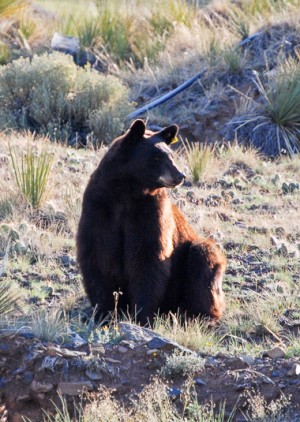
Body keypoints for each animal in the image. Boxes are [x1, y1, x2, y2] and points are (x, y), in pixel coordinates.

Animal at [76, 120, 226, 324]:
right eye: (156, 157)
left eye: (171, 154)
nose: (180, 175)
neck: (127, 191)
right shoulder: (99, 209)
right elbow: (98, 257)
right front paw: (103, 312)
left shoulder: (150, 213)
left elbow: (149, 258)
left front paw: (141, 315)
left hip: (193, 257)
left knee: (203, 261)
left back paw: (200, 315)